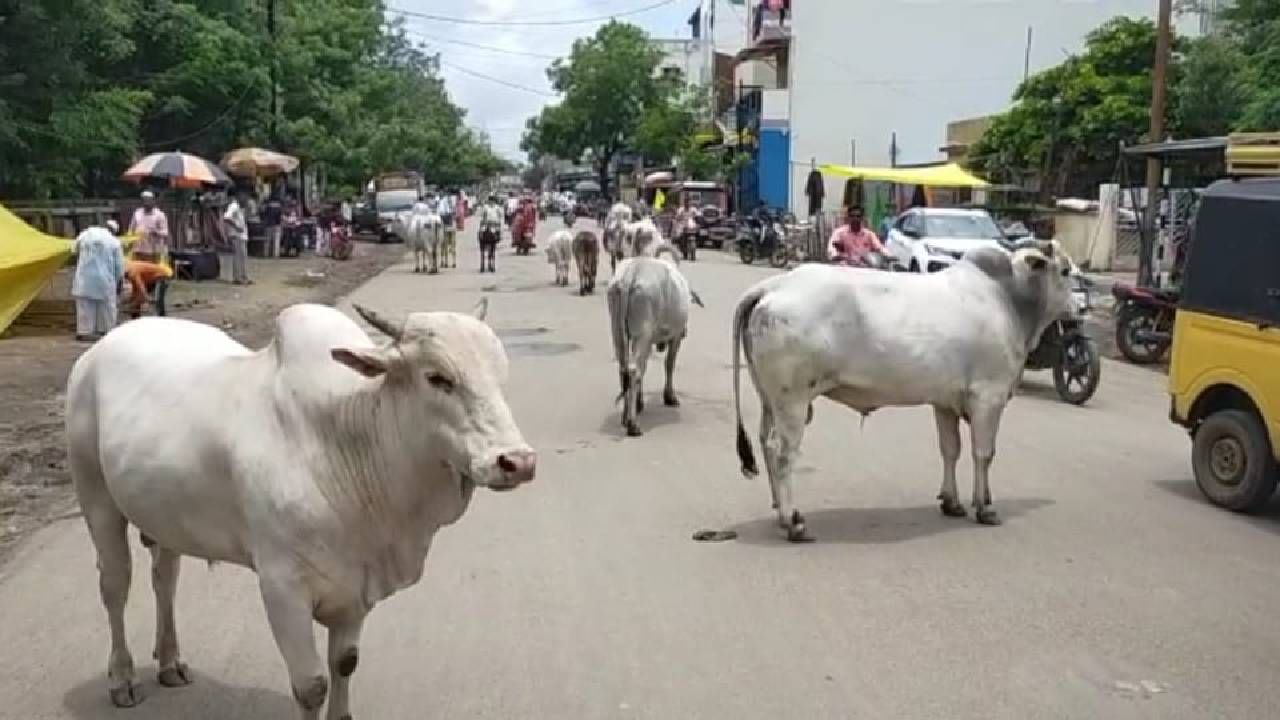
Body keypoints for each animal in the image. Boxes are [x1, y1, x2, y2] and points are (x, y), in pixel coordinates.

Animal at [63, 298, 535, 717]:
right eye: (437, 377)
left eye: (500, 375)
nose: (517, 462)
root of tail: (99, 351)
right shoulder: (282, 587)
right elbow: (311, 686)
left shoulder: (356, 588)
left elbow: (344, 664)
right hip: (96, 498)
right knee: (115, 586)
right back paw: (122, 678)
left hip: (164, 515)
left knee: (165, 578)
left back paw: (169, 661)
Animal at [606, 245, 706, 438]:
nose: (686, 332)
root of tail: (632, 273)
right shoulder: (674, 337)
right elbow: (669, 364)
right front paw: (670, 397)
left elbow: (644, 370)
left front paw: (639, 402)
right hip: (642, 333)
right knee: (633, 371)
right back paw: (633, 425)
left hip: (618, 332)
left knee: (625, 369)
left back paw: (626, 416)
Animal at [732, 240, 1080, 538]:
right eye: (1064, 270)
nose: (1082, 305)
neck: (1008, 299)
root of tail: (774, 286)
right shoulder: (988, 397)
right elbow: (983, 454)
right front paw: (985, 508)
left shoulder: (945, 402)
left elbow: (950, 450)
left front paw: (952, 502)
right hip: (792, 401)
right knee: (782, 453)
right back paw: (793, 522)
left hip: (770, 399)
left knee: (764, 442)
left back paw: (780, 511)